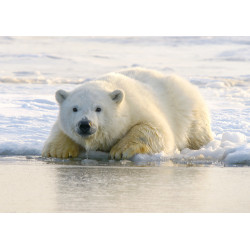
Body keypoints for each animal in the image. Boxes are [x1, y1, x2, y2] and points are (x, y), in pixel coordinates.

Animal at [41, 67, 213, 159]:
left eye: (98, 108)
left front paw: (120, 151)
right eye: (74, 108)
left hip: (189, 112)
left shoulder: (139, 108)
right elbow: (59, 129)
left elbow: (156, 130)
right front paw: (58, 151)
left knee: (197, 133)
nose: (85, 124)